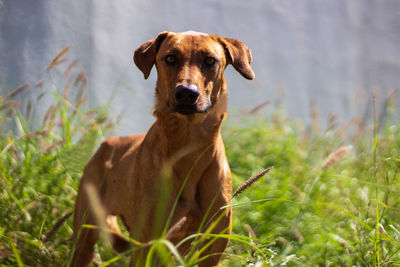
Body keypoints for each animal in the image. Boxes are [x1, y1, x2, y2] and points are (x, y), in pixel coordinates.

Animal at [71, 30, 253, 266]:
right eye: (170, 58)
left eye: (210, 60)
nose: (186, 93)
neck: (188, 149)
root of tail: (106, 144)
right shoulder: (149, 242)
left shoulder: (212, 247)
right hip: (85, 233)